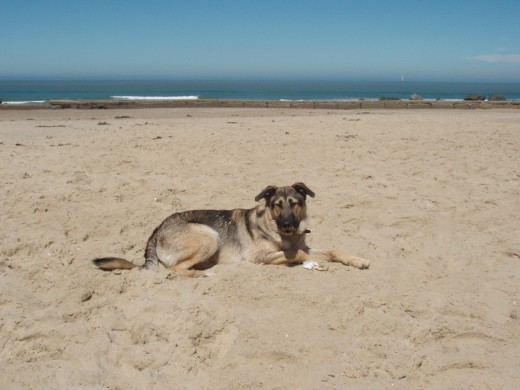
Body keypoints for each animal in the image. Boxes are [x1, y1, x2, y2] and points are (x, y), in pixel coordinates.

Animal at [93, 184, 370, 278]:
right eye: (276, 205)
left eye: (294, 203)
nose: (288, 225)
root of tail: (156, 230)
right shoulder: (260, 258)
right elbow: (299, 256)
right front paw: (313, 263)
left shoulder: (304, 244)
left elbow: (333, 250)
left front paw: (357, 260)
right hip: (209, 236)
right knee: (175, 270)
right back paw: (202, 274)